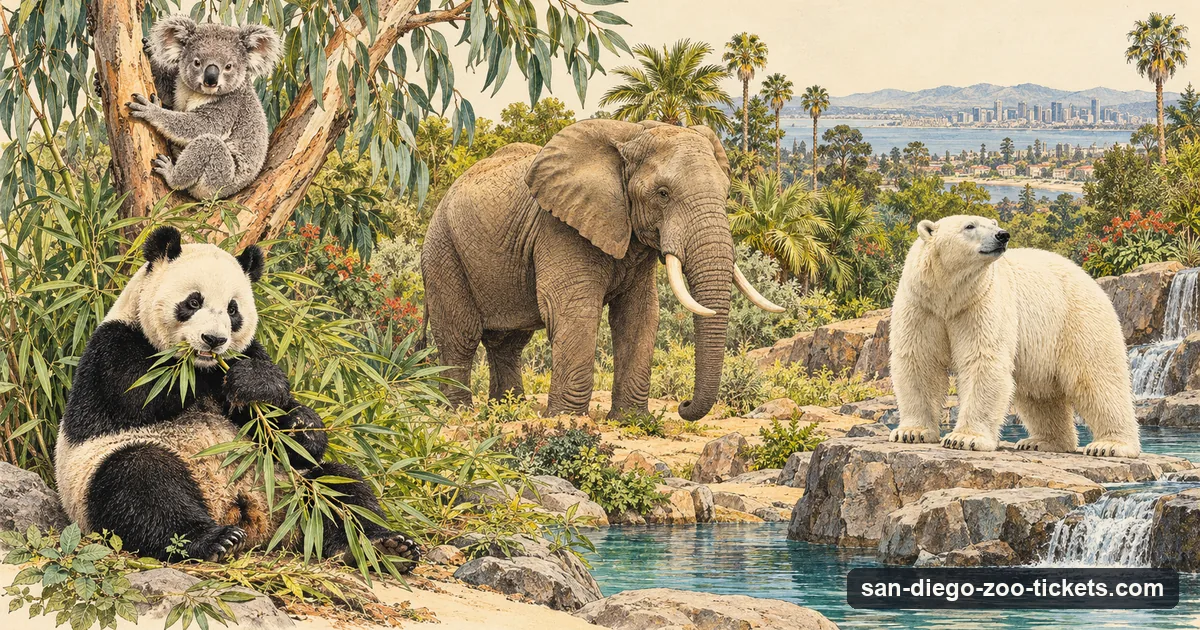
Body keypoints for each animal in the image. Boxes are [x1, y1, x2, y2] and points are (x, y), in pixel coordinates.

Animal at [56, 226, 421, 568]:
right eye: (193, 302)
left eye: (233, 309)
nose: (213, 340)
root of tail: (250, 515)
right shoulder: (112, 347)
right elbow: (143, 390)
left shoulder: (250, 358)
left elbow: (278, 426)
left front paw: (291, 414)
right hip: (96, 474)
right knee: (140, 484)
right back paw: (214, 540)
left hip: (291, 483)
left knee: (342, 488)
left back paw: (382, 545)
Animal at [420, 119, 783, 421]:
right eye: (663, 194)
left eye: (726, 193)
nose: (683, 405)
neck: (631, 134)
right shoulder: (559, 226)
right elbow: (574, 310)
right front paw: (567, 420)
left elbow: (639, 314)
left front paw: (632, 420)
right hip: (443, 251)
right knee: (460, 336)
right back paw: (460, 413)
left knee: (508, 344)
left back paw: (509, 411)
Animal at [888, 214, 1141, 458]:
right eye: (969, 225)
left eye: (992, 223)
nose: (1002, 235)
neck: (948, 295)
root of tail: (1087, 276)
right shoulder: (921, 306)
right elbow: (920, 362)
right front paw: (911, 432)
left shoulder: (981, 301)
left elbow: (983, 361)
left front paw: (964, 438)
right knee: (1038, 394)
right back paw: (1043, 441)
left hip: (1077, 320)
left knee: (1097, 379)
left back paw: (1110, 445)